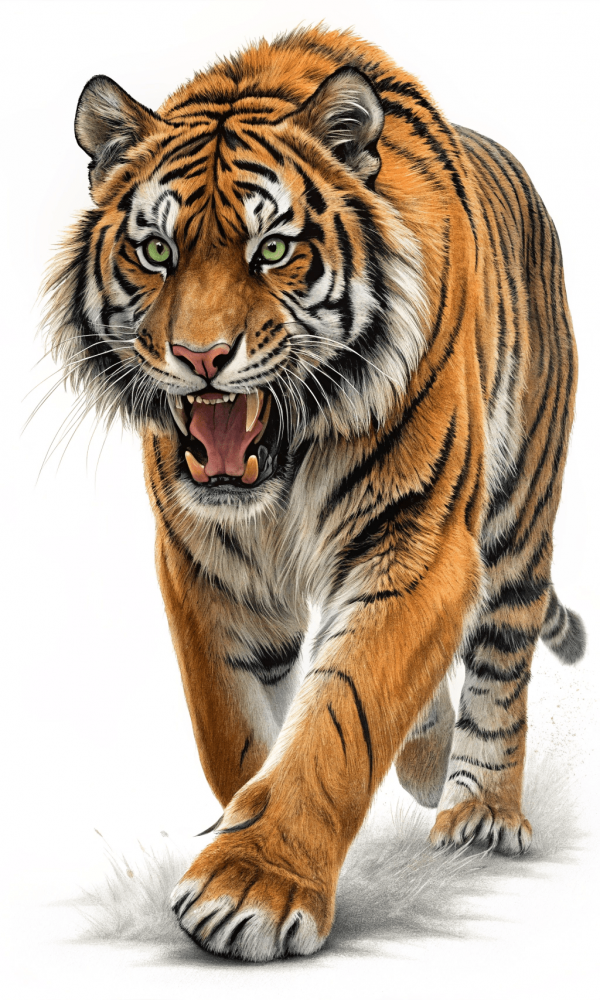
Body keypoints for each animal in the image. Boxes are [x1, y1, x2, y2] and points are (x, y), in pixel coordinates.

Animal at [44, 25, 585, 961]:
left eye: (272, 249)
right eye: (157, 251)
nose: (200, 356)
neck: (281, 476)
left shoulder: (418, 541)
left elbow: (344, 712)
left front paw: (252, 885)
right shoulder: (206, 563)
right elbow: (230, 727)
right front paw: (237, 817)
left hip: (518, 517)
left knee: (502, 660)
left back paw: (480, 813)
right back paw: (427, 764)